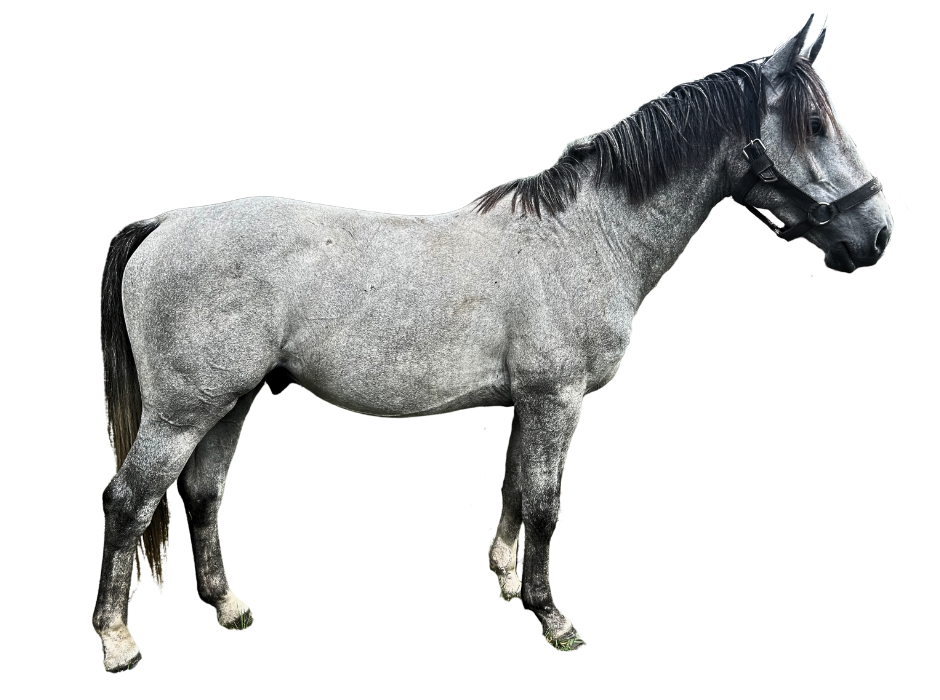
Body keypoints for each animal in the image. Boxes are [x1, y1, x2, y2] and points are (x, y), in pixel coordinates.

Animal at [94, 12, 893, 671]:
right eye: (814, 124)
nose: (877, 235)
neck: (585, 235)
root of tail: (165, 224)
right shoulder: (556, 399)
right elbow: (543, 503)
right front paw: (553, 619)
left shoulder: (528, 403)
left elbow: (511, 489)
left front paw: (509, 581)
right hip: (181, 412)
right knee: (129, 501)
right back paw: (117, 640)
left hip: (231, 401)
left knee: (202, 494)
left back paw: (228, 607)